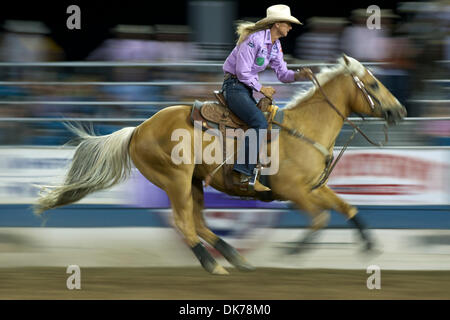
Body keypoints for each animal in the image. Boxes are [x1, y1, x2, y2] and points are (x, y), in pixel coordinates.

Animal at [35, 55, 406, 276]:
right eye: (373, 84)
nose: (399, 110)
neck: (303, 129)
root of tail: (138, 129)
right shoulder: (292, 189)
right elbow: (320, 219)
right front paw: (293, 249)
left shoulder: (314, 187)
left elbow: (346, 207)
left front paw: (370, 244)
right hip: (176, 181)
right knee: (184, 223)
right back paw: (214, 265)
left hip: (195, 182)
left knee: (199, 223)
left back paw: (236, 258)